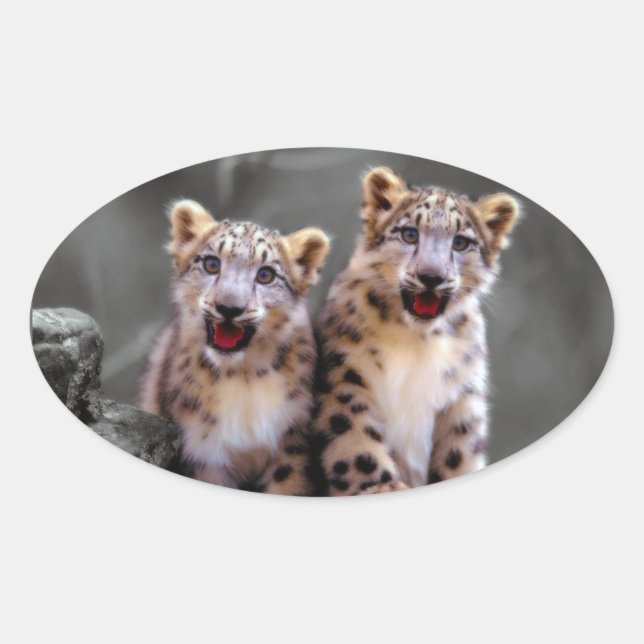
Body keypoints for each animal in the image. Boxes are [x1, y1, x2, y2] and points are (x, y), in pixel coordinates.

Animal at [139, 199, 329, 494]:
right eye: (211, 264)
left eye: (266, 274)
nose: (229, 307)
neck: (243, 377)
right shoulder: (204, 451)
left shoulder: (292, 441)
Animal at [311, 167, 520, 495]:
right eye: (409, 234)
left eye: (460, 242)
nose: (431, 276)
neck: (417, 340)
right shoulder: (345, 374)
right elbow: (354, 438)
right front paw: (381, 487)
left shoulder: (462, 394)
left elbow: (459, 452)